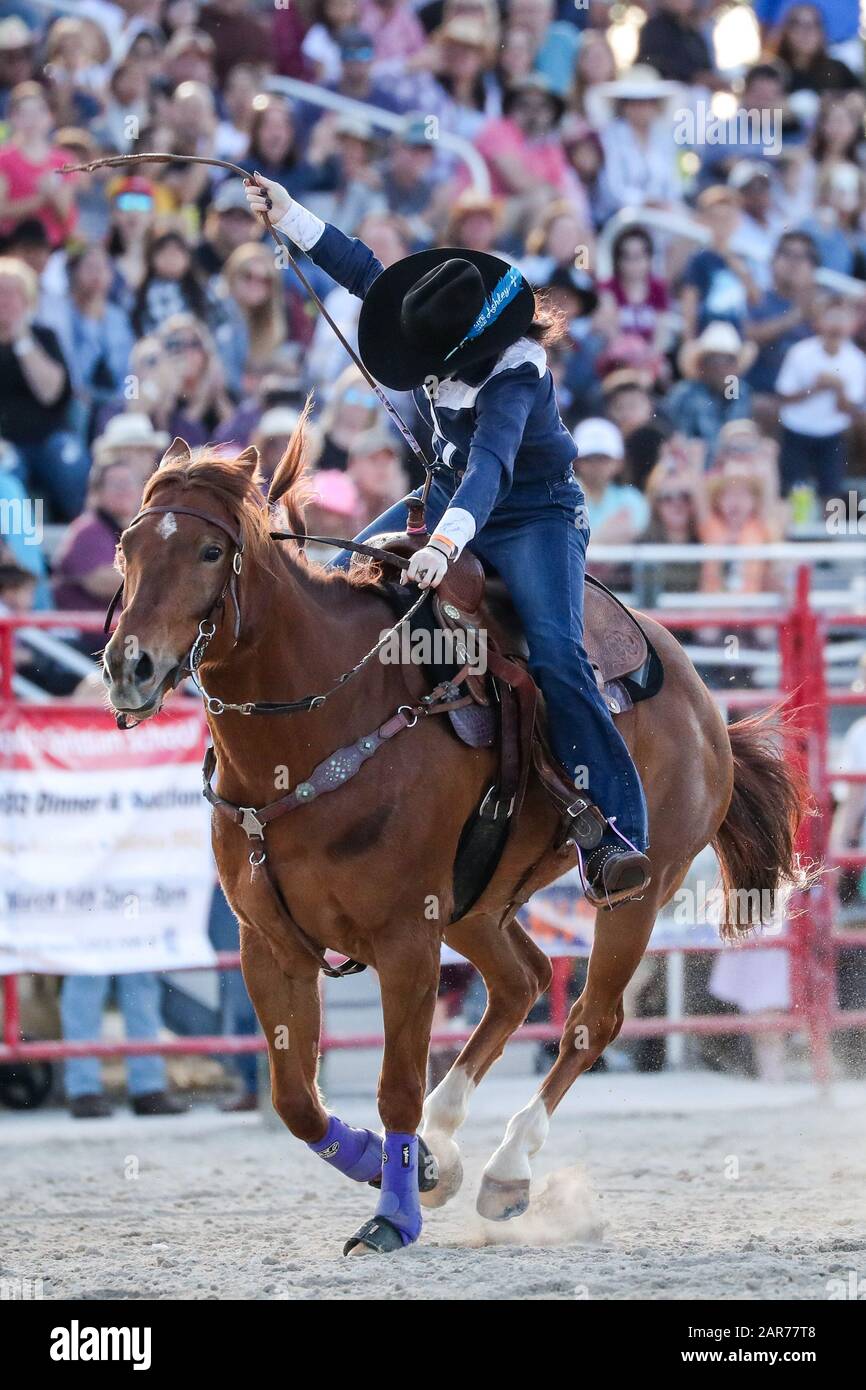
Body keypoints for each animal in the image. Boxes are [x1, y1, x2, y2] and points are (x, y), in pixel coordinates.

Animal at [104, 428, 811, 1256]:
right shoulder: (268, 944)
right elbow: (296, 1101)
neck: (320, 725)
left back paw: (506, 1169)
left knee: (589, 1020)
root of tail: (708, 709)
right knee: (522, 982)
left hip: (638, 890)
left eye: (211, 551)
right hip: (479, 903)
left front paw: (394, 1214)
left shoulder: (406, 937)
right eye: (126, 546)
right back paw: (446, 1144)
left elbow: (395, 1087)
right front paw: (394, 1165)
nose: (128, 665)